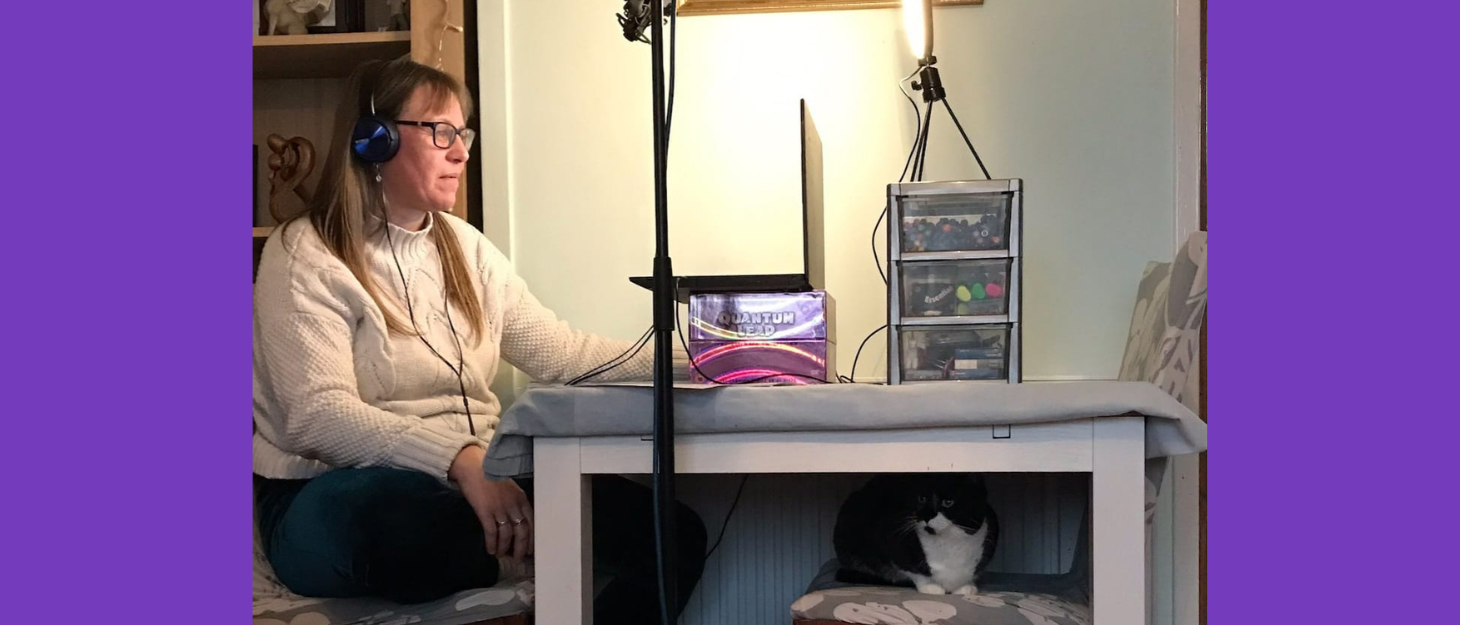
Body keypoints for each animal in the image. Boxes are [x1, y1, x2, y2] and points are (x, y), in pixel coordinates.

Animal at [840, 473, 998, 595]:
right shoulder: (892, 539)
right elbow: (912, 569)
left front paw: (967, 586)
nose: (927, 516)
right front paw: (931, 586)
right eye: (921, 499)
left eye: (948, 502)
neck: (949, 541)